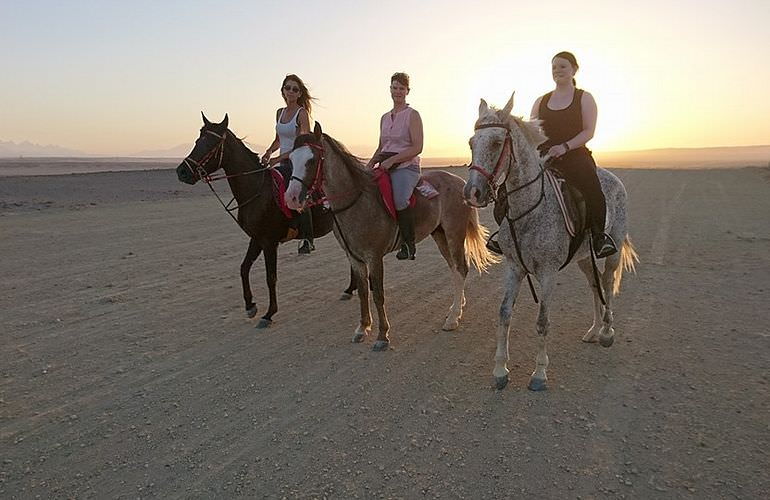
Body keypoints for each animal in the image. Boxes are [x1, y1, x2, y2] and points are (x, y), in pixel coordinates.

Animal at [176, 113, 352, 328]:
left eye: (212, 143)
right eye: (197, 140)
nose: (182, 172)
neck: (257, 191)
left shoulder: (269, 242)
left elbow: (271, 277)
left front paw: (269, 313)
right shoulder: (256, 238)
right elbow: (244, 268)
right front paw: (250, 305)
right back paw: (350, 289)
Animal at [284, 124, 496, 350]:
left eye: (311, 160)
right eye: (291, 159)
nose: (292, 198)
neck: (357, 202)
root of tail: (460, 182)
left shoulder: (374, 257)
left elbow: (378, 294)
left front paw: (382, 335)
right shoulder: (355, 259)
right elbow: (363, 292)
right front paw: (362, 328)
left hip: (454, 234)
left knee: (461, 269)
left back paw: (453, 318)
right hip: (440, 236)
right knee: (455, 270)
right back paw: (457, 307)